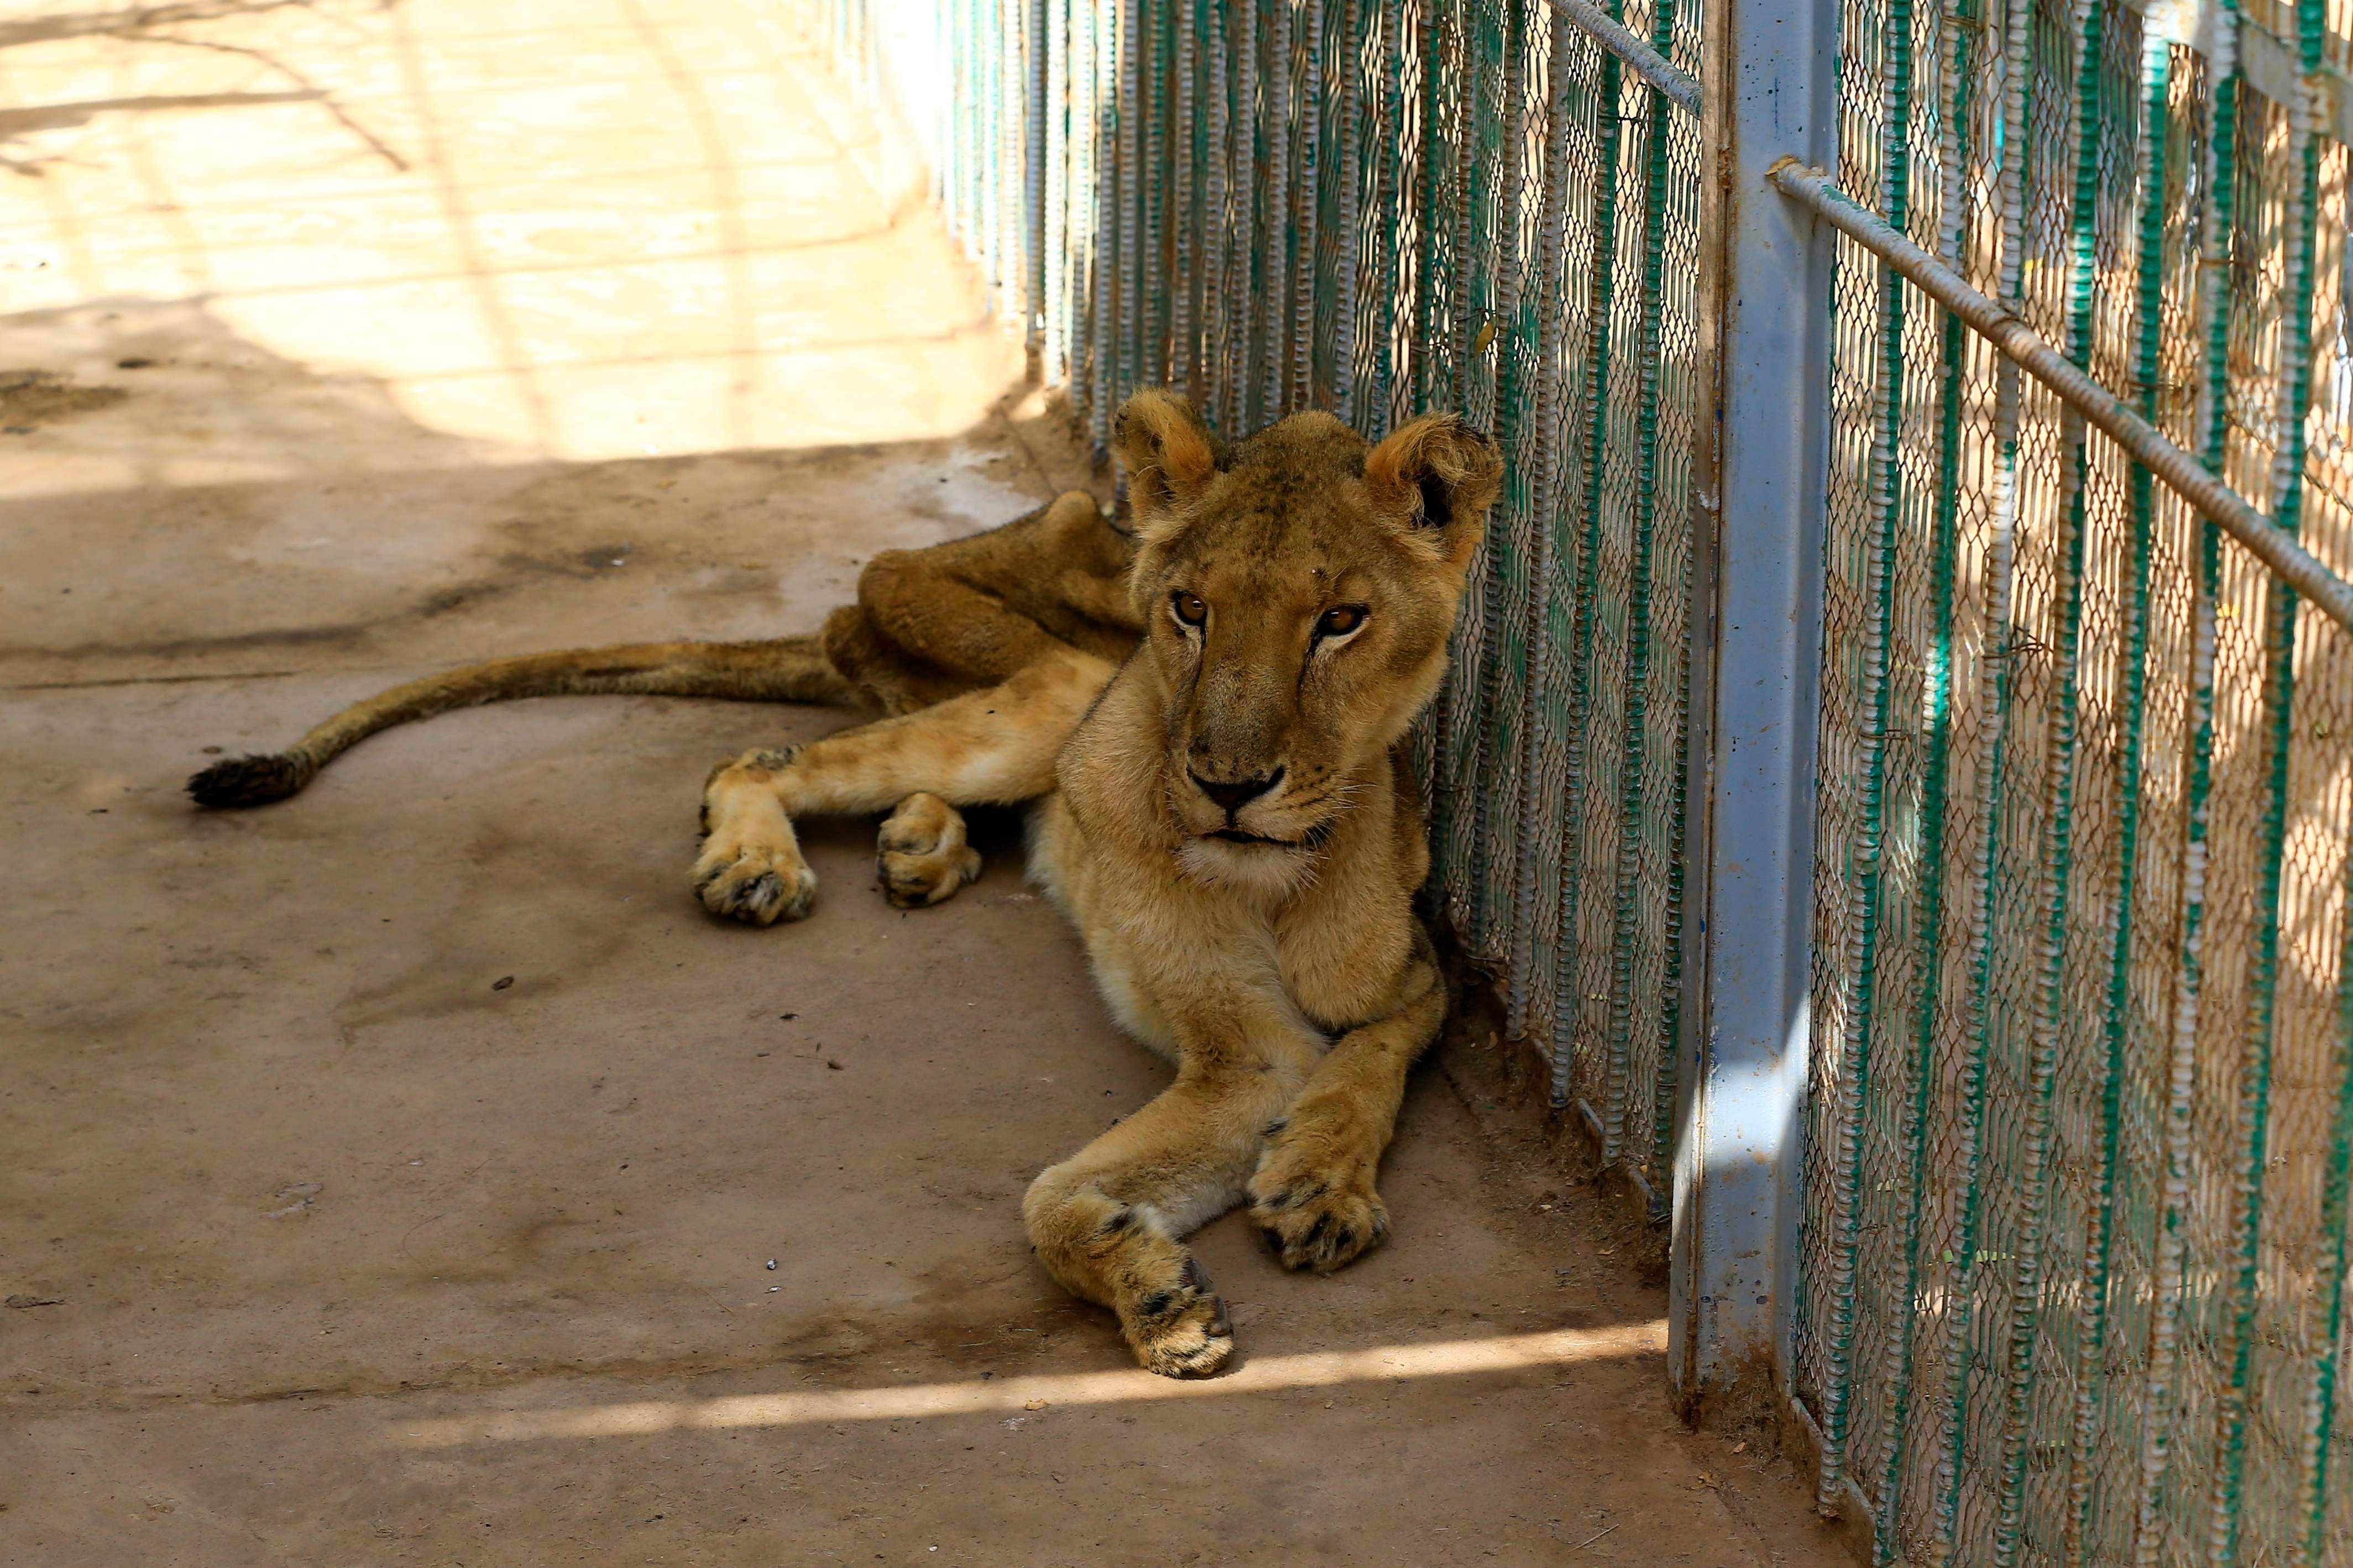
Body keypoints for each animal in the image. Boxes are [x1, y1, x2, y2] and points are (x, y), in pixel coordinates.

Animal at [188, 392, 1505, 1372]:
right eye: (1191, 609)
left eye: (1339, 620)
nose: (1227, 783)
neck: (1274, 877)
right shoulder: (1242, 1051)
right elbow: (1049, 1202)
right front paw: (1162, 1295)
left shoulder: (1408, 979)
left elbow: (1371, 1060)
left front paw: (1316, 1182)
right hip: (1051, 685)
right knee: (761, 758)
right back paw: (762, 863)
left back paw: (924, 846)